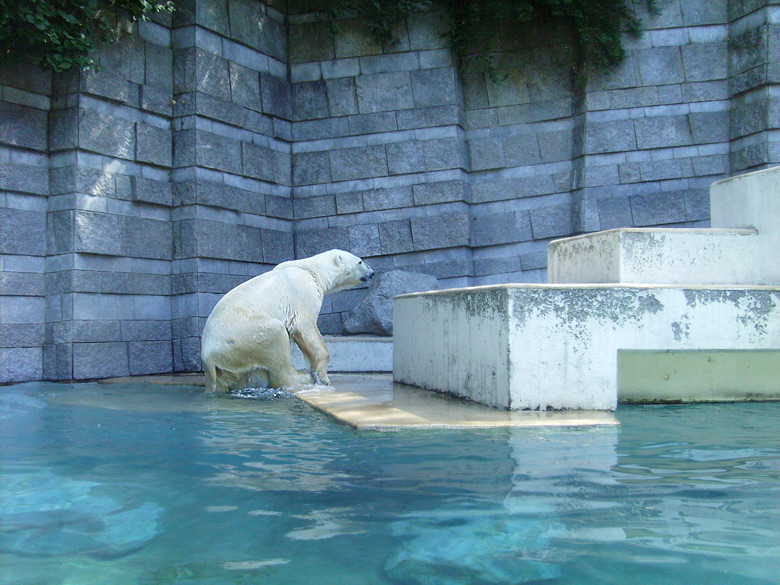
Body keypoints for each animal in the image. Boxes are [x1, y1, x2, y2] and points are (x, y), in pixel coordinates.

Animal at [200, 250, 374, 392]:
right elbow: (303, 324)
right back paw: (302, 377)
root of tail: (208, 356)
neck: (311, 270)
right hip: (243, 333)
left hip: (229, 364)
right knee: (276, 338)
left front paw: (315, 371)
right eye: (360, 261)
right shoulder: (302, 293)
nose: (372, 272)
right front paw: (322, 378)